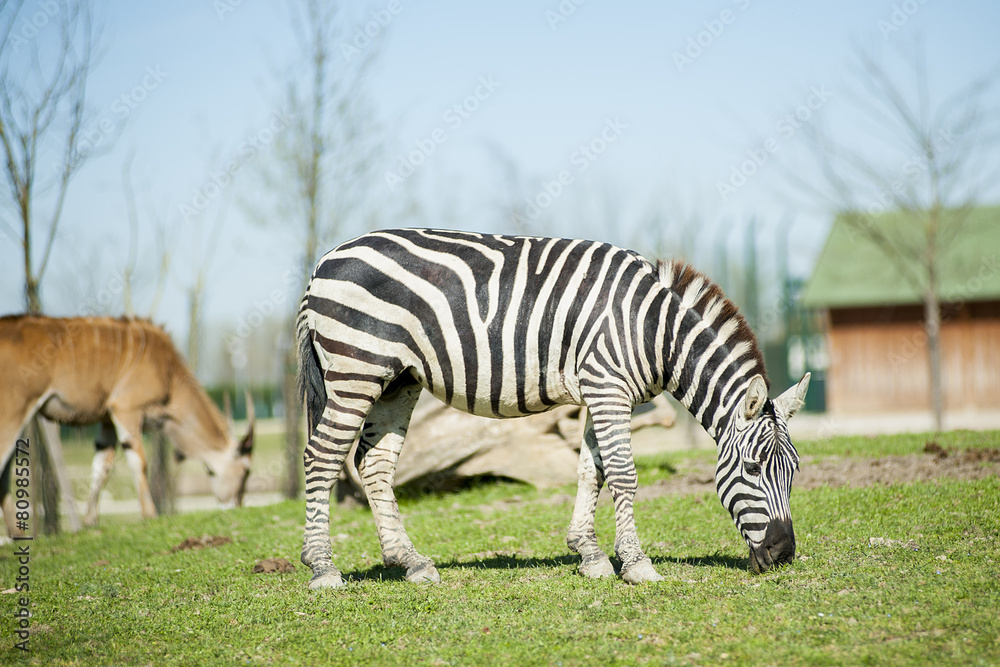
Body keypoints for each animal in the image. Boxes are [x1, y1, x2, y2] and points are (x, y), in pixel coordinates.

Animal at [296, 228, 810, 589]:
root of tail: (325, 259)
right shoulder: (608, 387)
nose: (783, 554)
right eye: (751, 468)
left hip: (397, 381)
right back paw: (323, 569)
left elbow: (590, 471)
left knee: (375, 465)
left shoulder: (602, 392)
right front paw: (637, 563)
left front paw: (590, 556)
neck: (655, 330)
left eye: (795, 471)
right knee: (321, 458)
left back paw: (410, 562)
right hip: (356, 369)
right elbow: (623, 474)